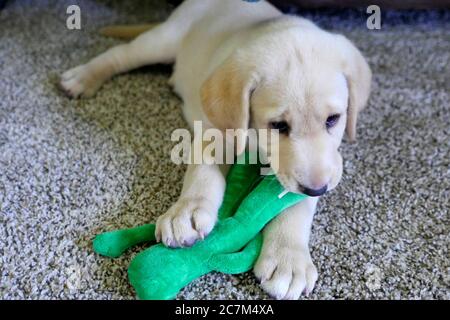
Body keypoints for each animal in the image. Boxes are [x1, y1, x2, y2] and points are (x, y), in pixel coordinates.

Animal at [61, 0, 370, 300]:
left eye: (333, 119)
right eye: (278, 125)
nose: (317, 189)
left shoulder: (329, 162)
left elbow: (297, 205)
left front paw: (288, 258)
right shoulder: (216, 131)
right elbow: (203, 173)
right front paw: (186, 212)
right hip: (164, 40)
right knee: (122, 53)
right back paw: (83, 77)